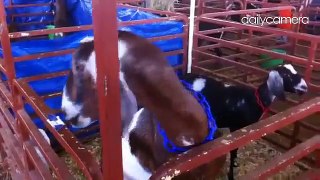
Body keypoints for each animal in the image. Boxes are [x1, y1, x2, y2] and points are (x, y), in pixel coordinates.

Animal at [180, 64, 308, 179]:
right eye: (286, 75)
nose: (305, 87)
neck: (255, 99)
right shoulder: (236, 128)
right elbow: (233, 152)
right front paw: (231, 175)